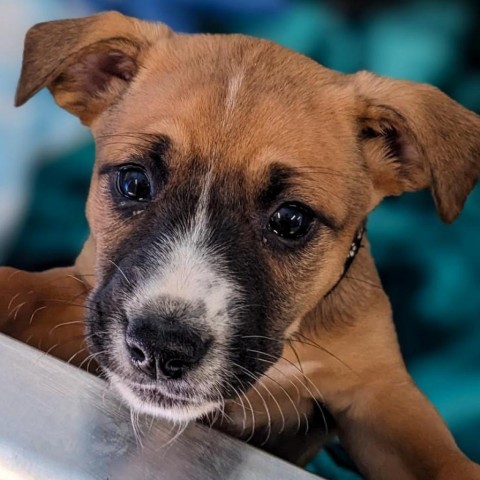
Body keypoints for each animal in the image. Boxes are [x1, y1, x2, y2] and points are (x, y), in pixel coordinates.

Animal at [0, 12, 480, 480]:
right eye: (134, 182)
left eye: (291, 220)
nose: (162, 347)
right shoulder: (85, 296)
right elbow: (28, 289)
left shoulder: (378, 391)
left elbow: (444, 460)